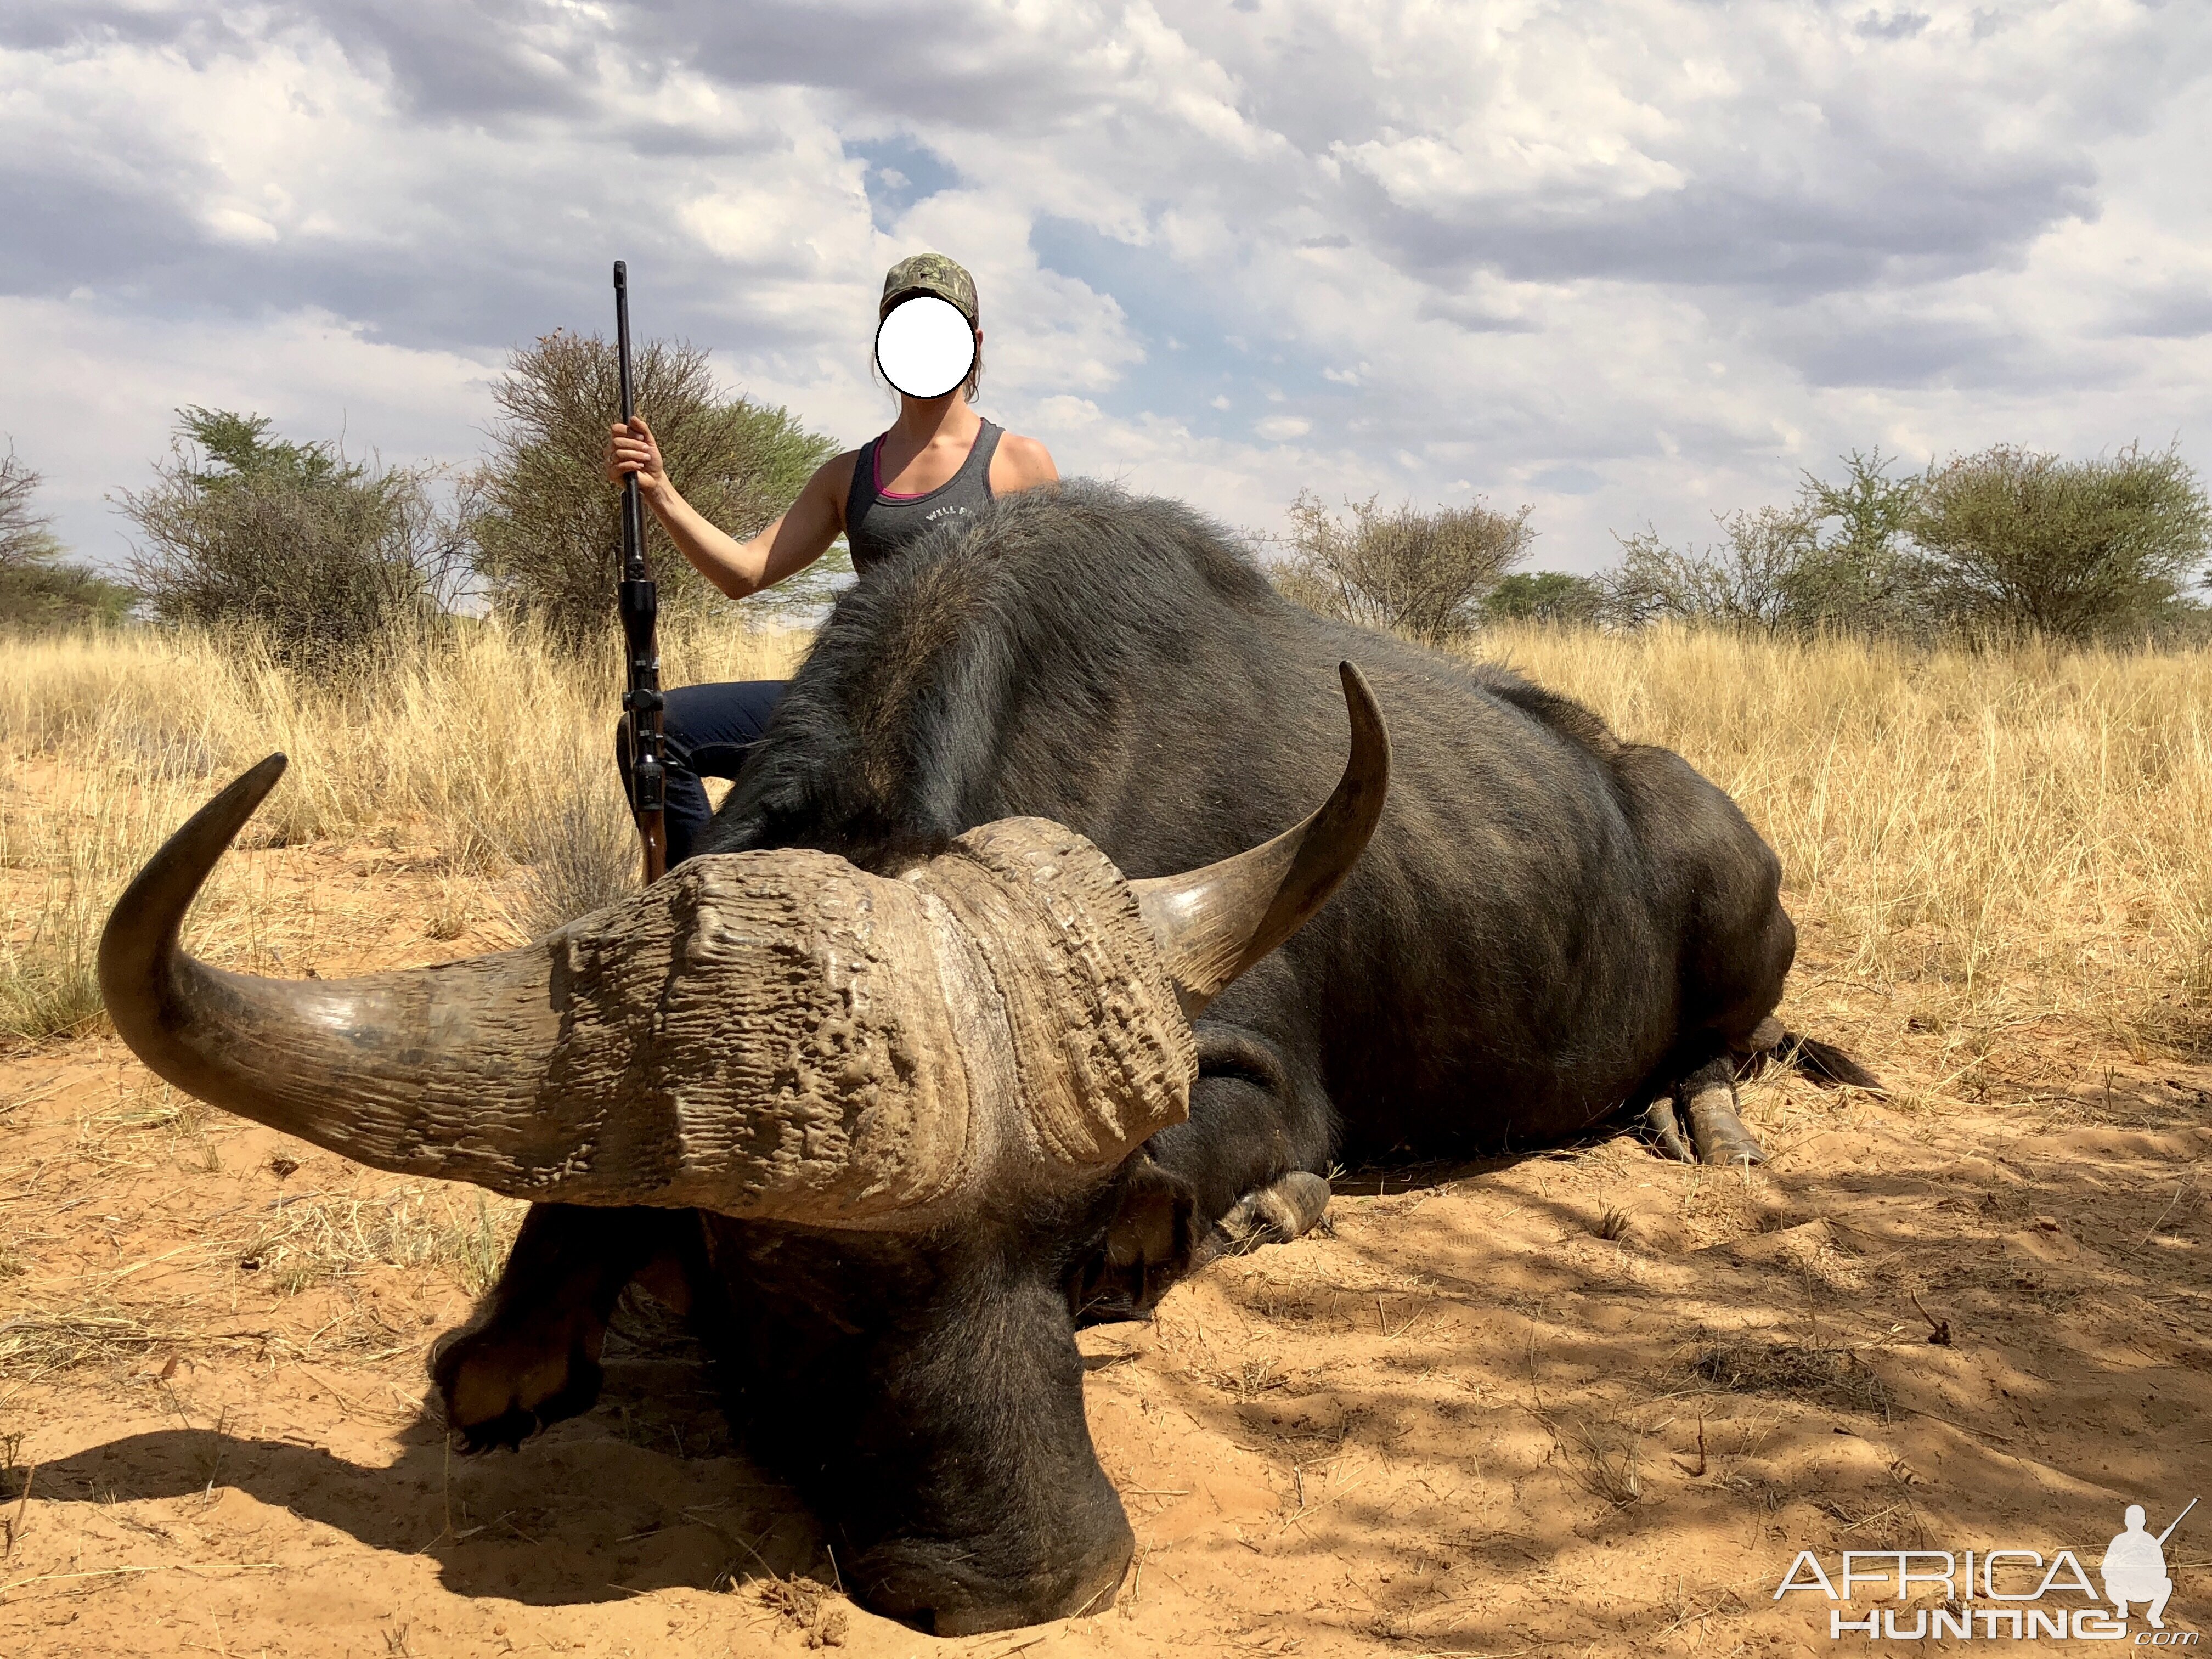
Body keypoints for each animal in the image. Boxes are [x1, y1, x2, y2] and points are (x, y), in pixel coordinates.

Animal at [99, 479, 1867, 1637]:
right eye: (778, 1266)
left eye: (1064, 1240)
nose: (1035, 1583)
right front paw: (519, 1340)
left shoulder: (1273, 1086)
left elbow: (1212, 1168)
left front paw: (1241, 1217)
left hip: (1737, 922)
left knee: (1726, 1050)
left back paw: (1702, 1120)